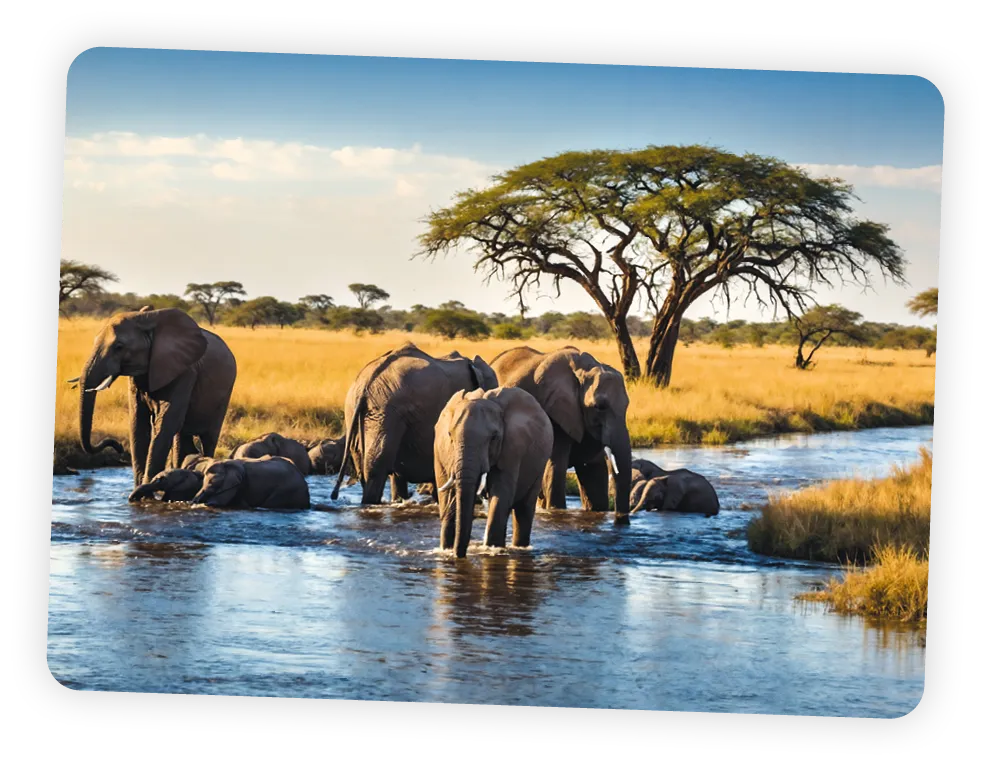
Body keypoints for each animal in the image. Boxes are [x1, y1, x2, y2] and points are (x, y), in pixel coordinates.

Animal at [73, 307, 237, 489]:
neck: (146, 319)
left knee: (208, 438)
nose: (118, 447)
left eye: (119, 347)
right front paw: (139, 487)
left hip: (224, 395)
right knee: (182, 438)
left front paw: (148, 487)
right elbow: (138, 423)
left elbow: (166, 422)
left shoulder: (186, 372)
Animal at [433, 387, 554, 558]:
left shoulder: (513, 449)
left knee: (524, 509)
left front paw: (491, 549)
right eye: (450, 435)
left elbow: (501, 497)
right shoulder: (440, 450)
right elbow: (448, 496)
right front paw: (446, 550)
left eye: (494, 438)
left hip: (540, 464)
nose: (458, 555)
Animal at [489, 346, 633, 524]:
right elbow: (555, 470)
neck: (584, 370)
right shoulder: (554, 413)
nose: (620, 519)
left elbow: (594, 474)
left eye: (626, 406)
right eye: (600, 407)